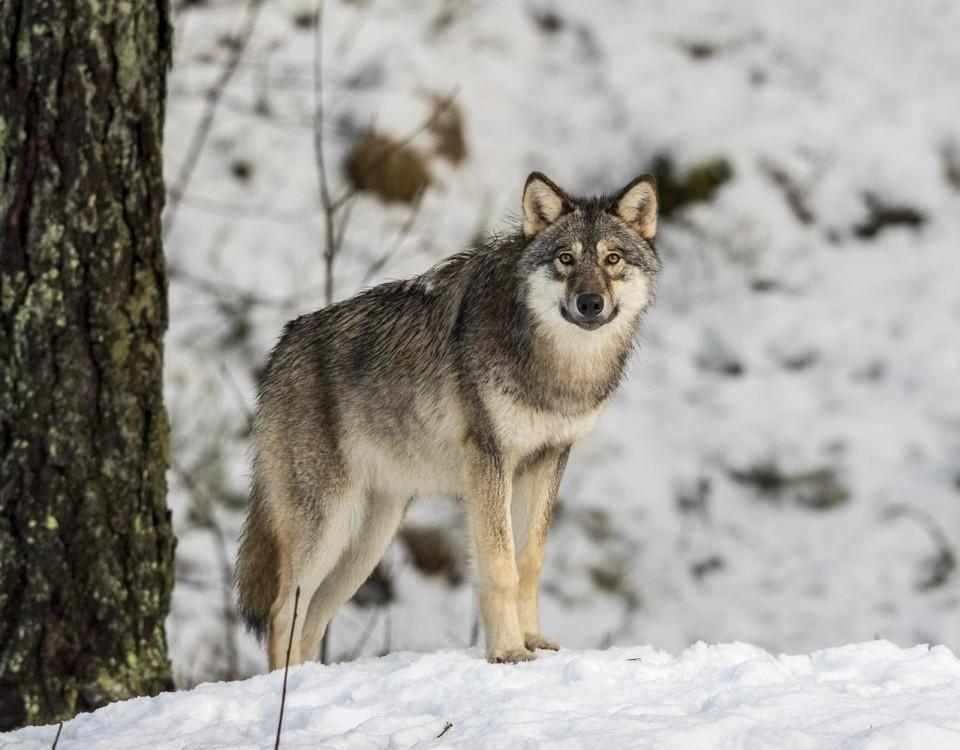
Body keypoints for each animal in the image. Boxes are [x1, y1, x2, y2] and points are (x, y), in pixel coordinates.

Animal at [236, 173, 664, 668]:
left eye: (612, 259)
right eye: (566, 258)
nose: (590, 302)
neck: (558, 369)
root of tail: (280, 348)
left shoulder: (548, 458)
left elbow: (530, 560)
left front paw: (533, 641)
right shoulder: (490, 461)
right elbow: (499, 565)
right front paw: (508, 651)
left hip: (368, 540)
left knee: (313, 619)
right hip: (329, 525)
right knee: (282, 611)